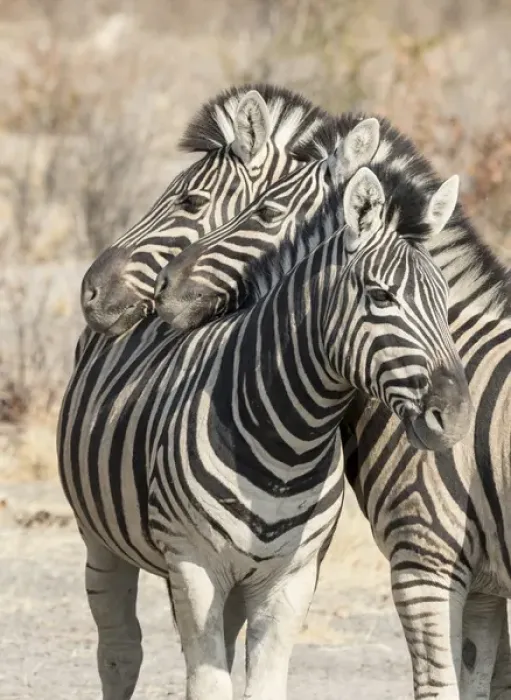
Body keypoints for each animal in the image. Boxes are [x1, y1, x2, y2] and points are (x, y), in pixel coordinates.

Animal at [57, 161, 471, 700]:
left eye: (445, 300)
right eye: (381, 296)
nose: (456, 414)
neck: (290, 439)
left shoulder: (291, 578)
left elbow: (263, 683)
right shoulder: (194, 566)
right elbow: (206, 684)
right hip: (101, 540)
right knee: (119, 651)